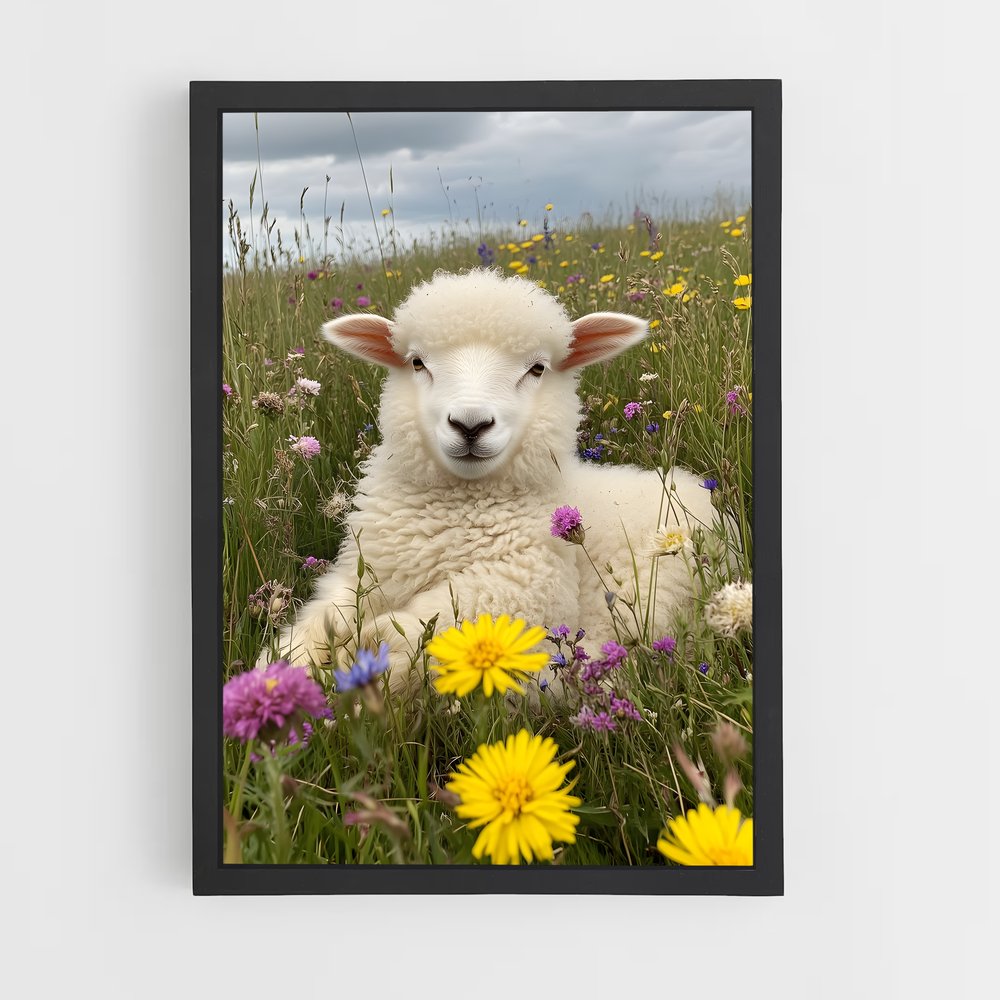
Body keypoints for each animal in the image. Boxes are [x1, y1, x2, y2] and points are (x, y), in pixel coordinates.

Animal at [257, 268, 722, 694]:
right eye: (417, 362)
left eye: (537, 368)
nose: (470, 424)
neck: (455, 515)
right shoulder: (359, 573)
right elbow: (318, 623)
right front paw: (279, 673)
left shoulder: (530, 588)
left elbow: (437, 621)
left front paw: (367, 647)